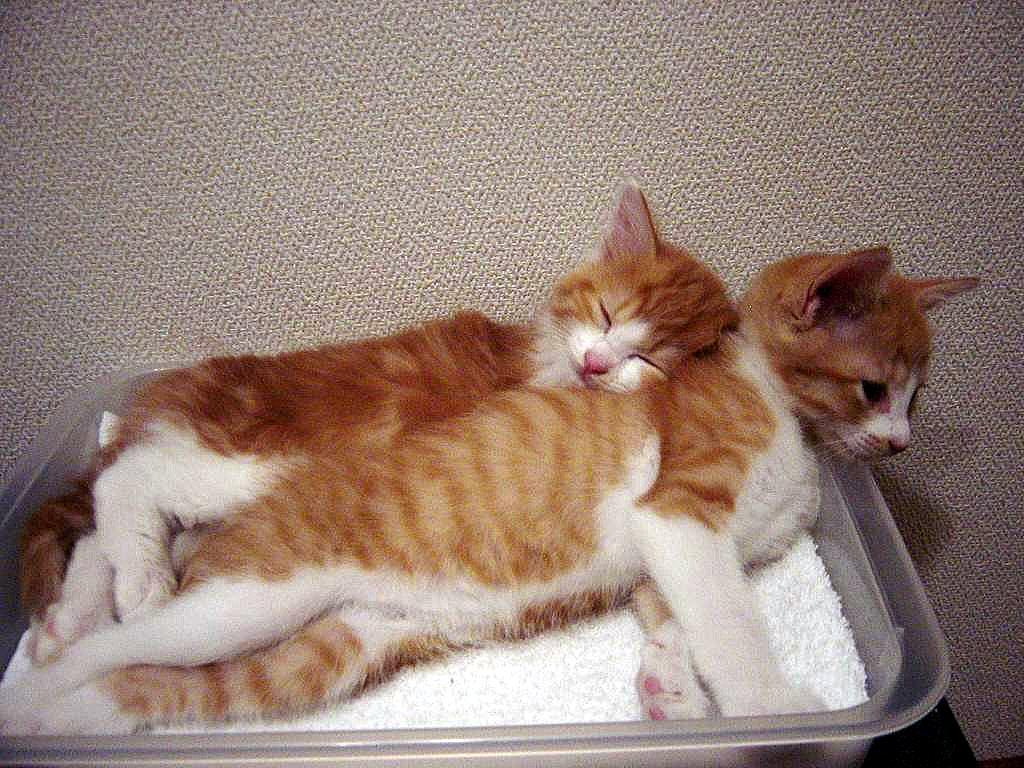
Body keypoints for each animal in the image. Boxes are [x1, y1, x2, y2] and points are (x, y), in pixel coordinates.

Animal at [0, 244, 975, 734]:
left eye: (918, 396)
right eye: (874, 389)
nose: (900, 440)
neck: (779, 410)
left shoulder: (668, 563)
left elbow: (678, 621)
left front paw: (672, 692)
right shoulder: (680, 513)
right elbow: (731, 623)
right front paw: (769, 711)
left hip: (329, 645)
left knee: (150, 685)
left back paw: (62, 699)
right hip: (248, 566)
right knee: (124, 539)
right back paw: (84, 626)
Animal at [19, 181, 737, 666]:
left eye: (649, 357)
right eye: (608, 314)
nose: (595, 363)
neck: (550, 364)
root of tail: (170, 386)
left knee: (101, 525)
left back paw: (71, 619)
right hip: (260, 459)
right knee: (128, 479)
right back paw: (140, 585)